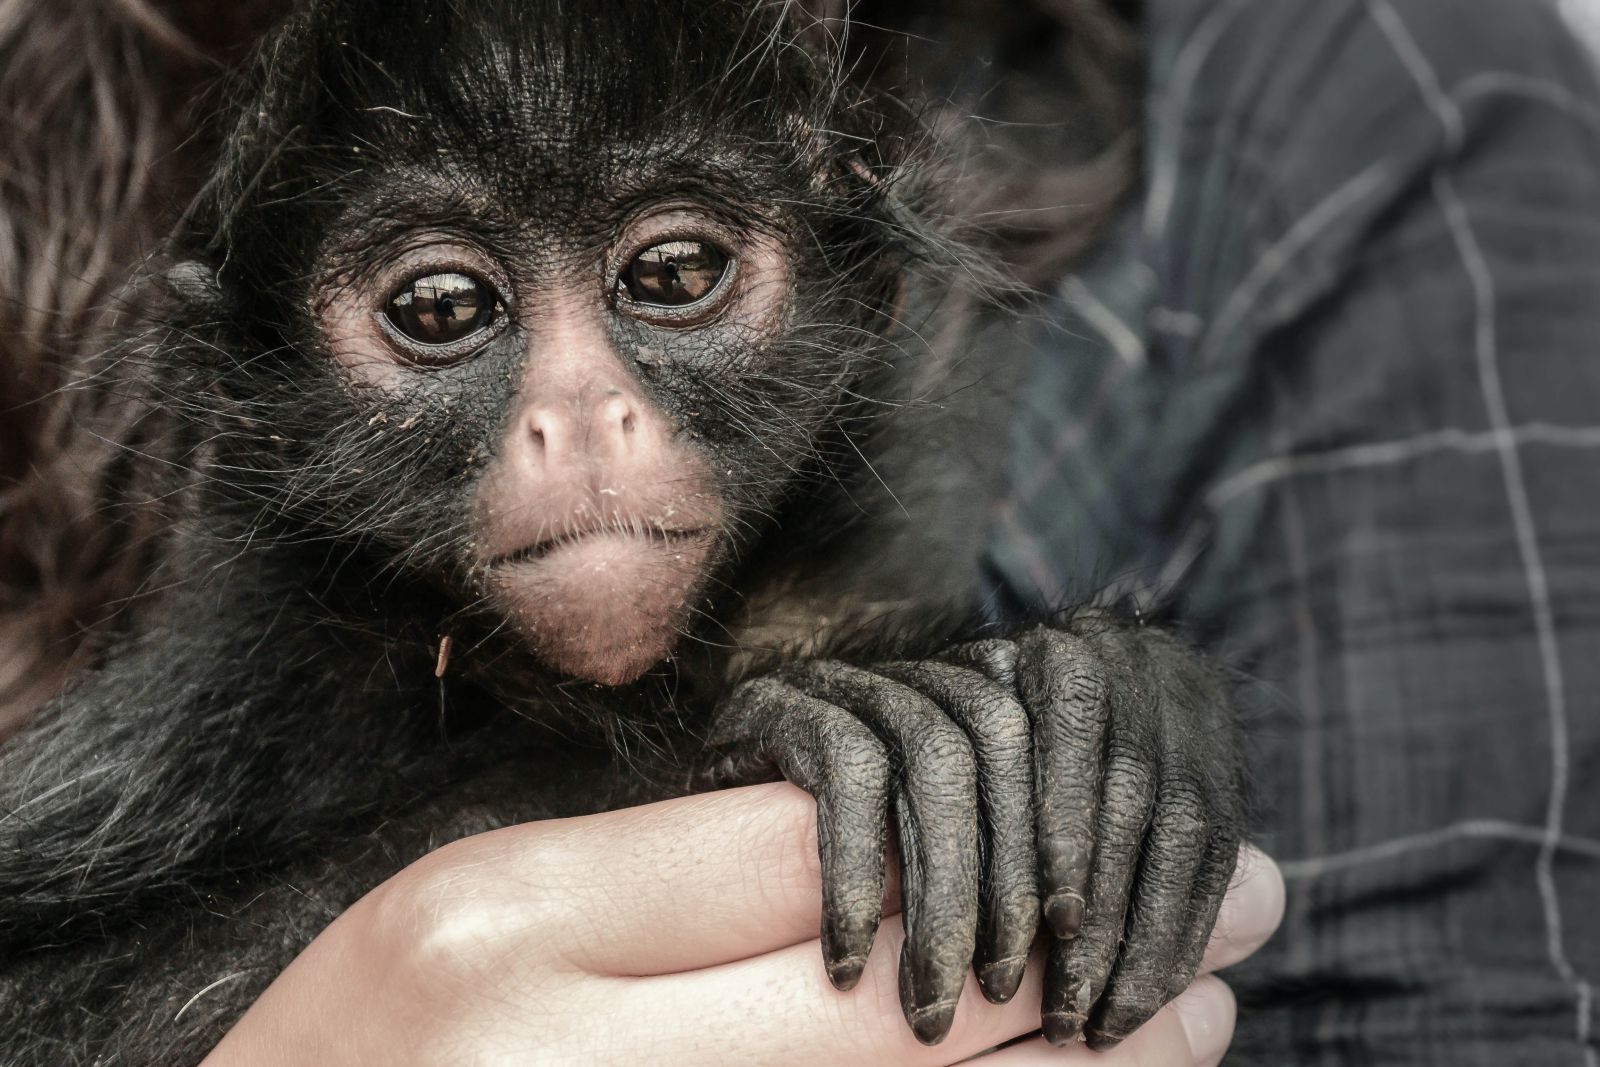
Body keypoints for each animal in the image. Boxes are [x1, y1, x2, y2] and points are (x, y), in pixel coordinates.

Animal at [0, 0, 1243, 1062]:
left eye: (672, 271)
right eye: (443, 306)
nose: (586, 413)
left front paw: (1105, 693)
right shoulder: (253, 672)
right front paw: (826, 720)